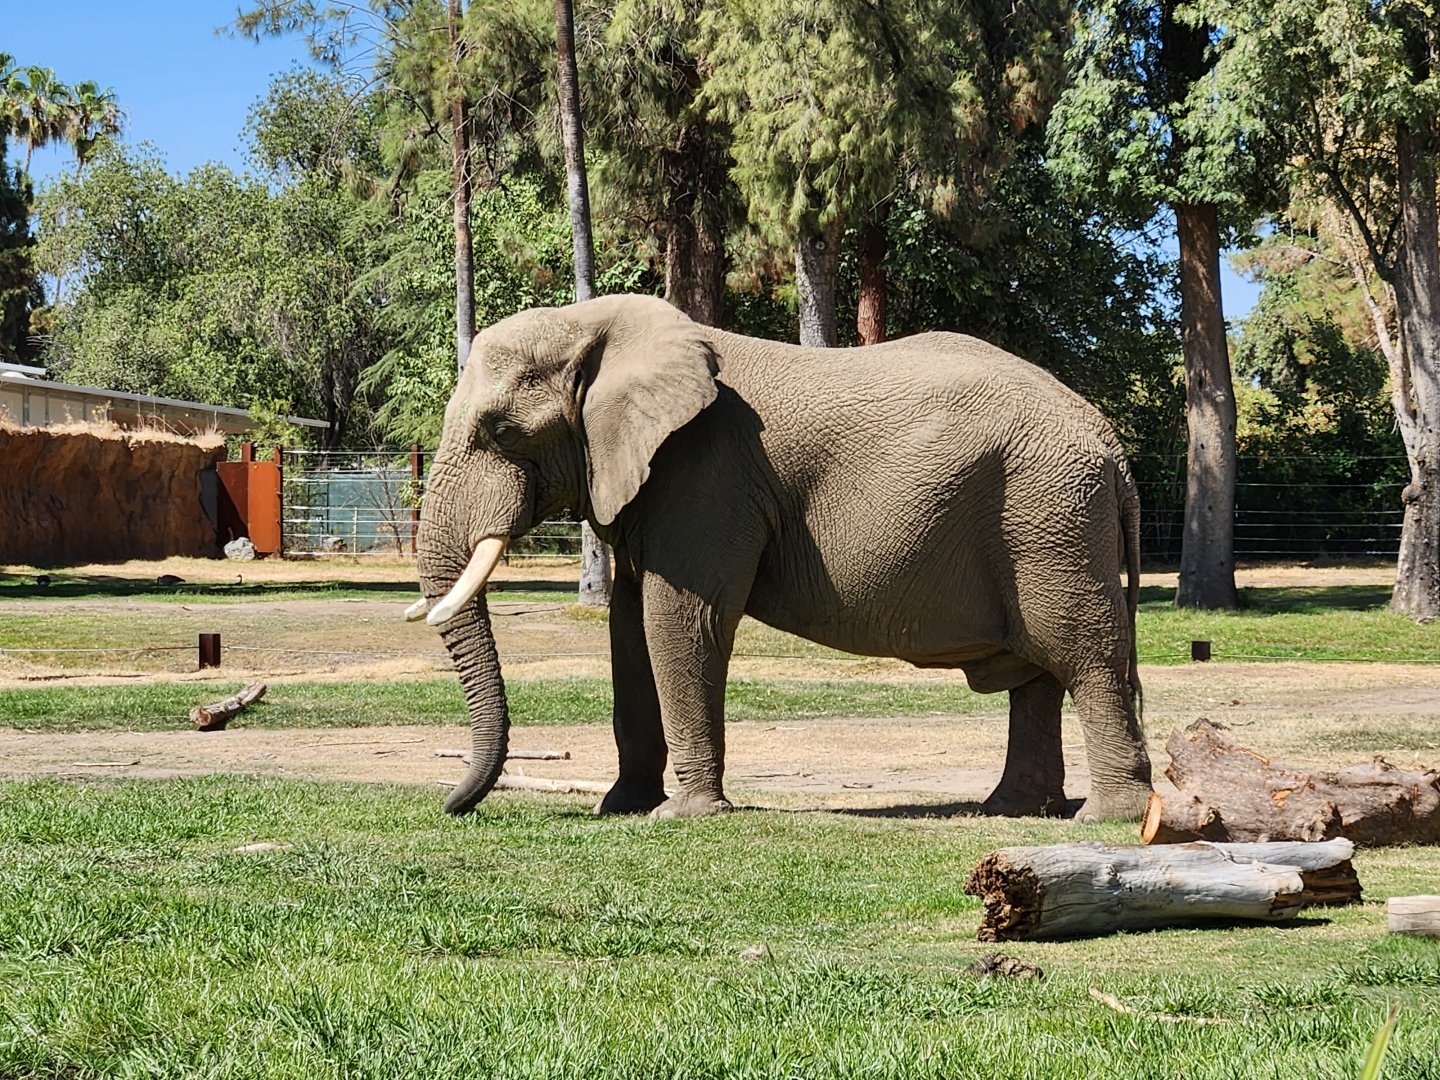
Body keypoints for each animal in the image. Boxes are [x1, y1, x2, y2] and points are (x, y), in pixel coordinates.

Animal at [411, 293, 1153, 822]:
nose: (451, 805)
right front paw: (621, 809)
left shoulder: (708, 473)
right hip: (1045, 519)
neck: (597, 326)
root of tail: (1113, 446)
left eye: (503, 433)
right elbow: (629, 626)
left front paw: (683, 817)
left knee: (1081, 655)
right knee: (1040, 671)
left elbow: (681, 620)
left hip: (1050, 515)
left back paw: (1103, 818)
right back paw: (1011, 810)